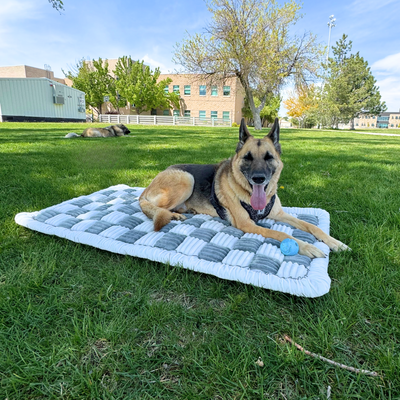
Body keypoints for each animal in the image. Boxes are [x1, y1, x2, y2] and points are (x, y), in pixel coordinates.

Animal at [140, 117, 346, 258]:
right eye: (247, 157)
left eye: (269, 157)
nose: (258, 179)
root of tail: (146, 189)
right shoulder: (248, 224)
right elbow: (280, 233)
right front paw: (307, 247)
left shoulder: (280, 214)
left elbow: (311, 226)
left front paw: (335, 242)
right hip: (187, 178)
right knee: (153, 208)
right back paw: (172, 214)